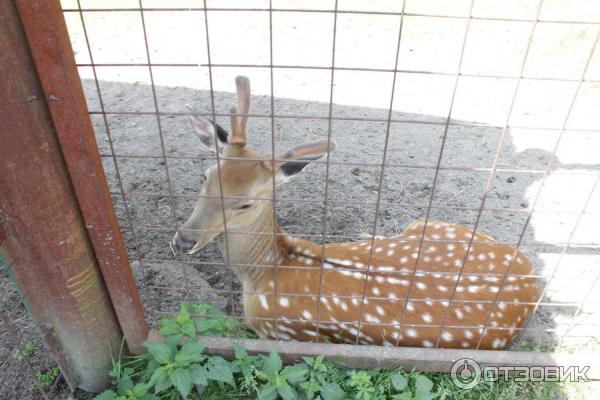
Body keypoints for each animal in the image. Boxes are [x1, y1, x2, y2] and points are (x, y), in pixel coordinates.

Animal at [172, 76, 540, 350]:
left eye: (245, 203)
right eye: (206, 176)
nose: (183, 239)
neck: (265, 271)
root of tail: (533, 277)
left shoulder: (282, 333)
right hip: (438, 225)